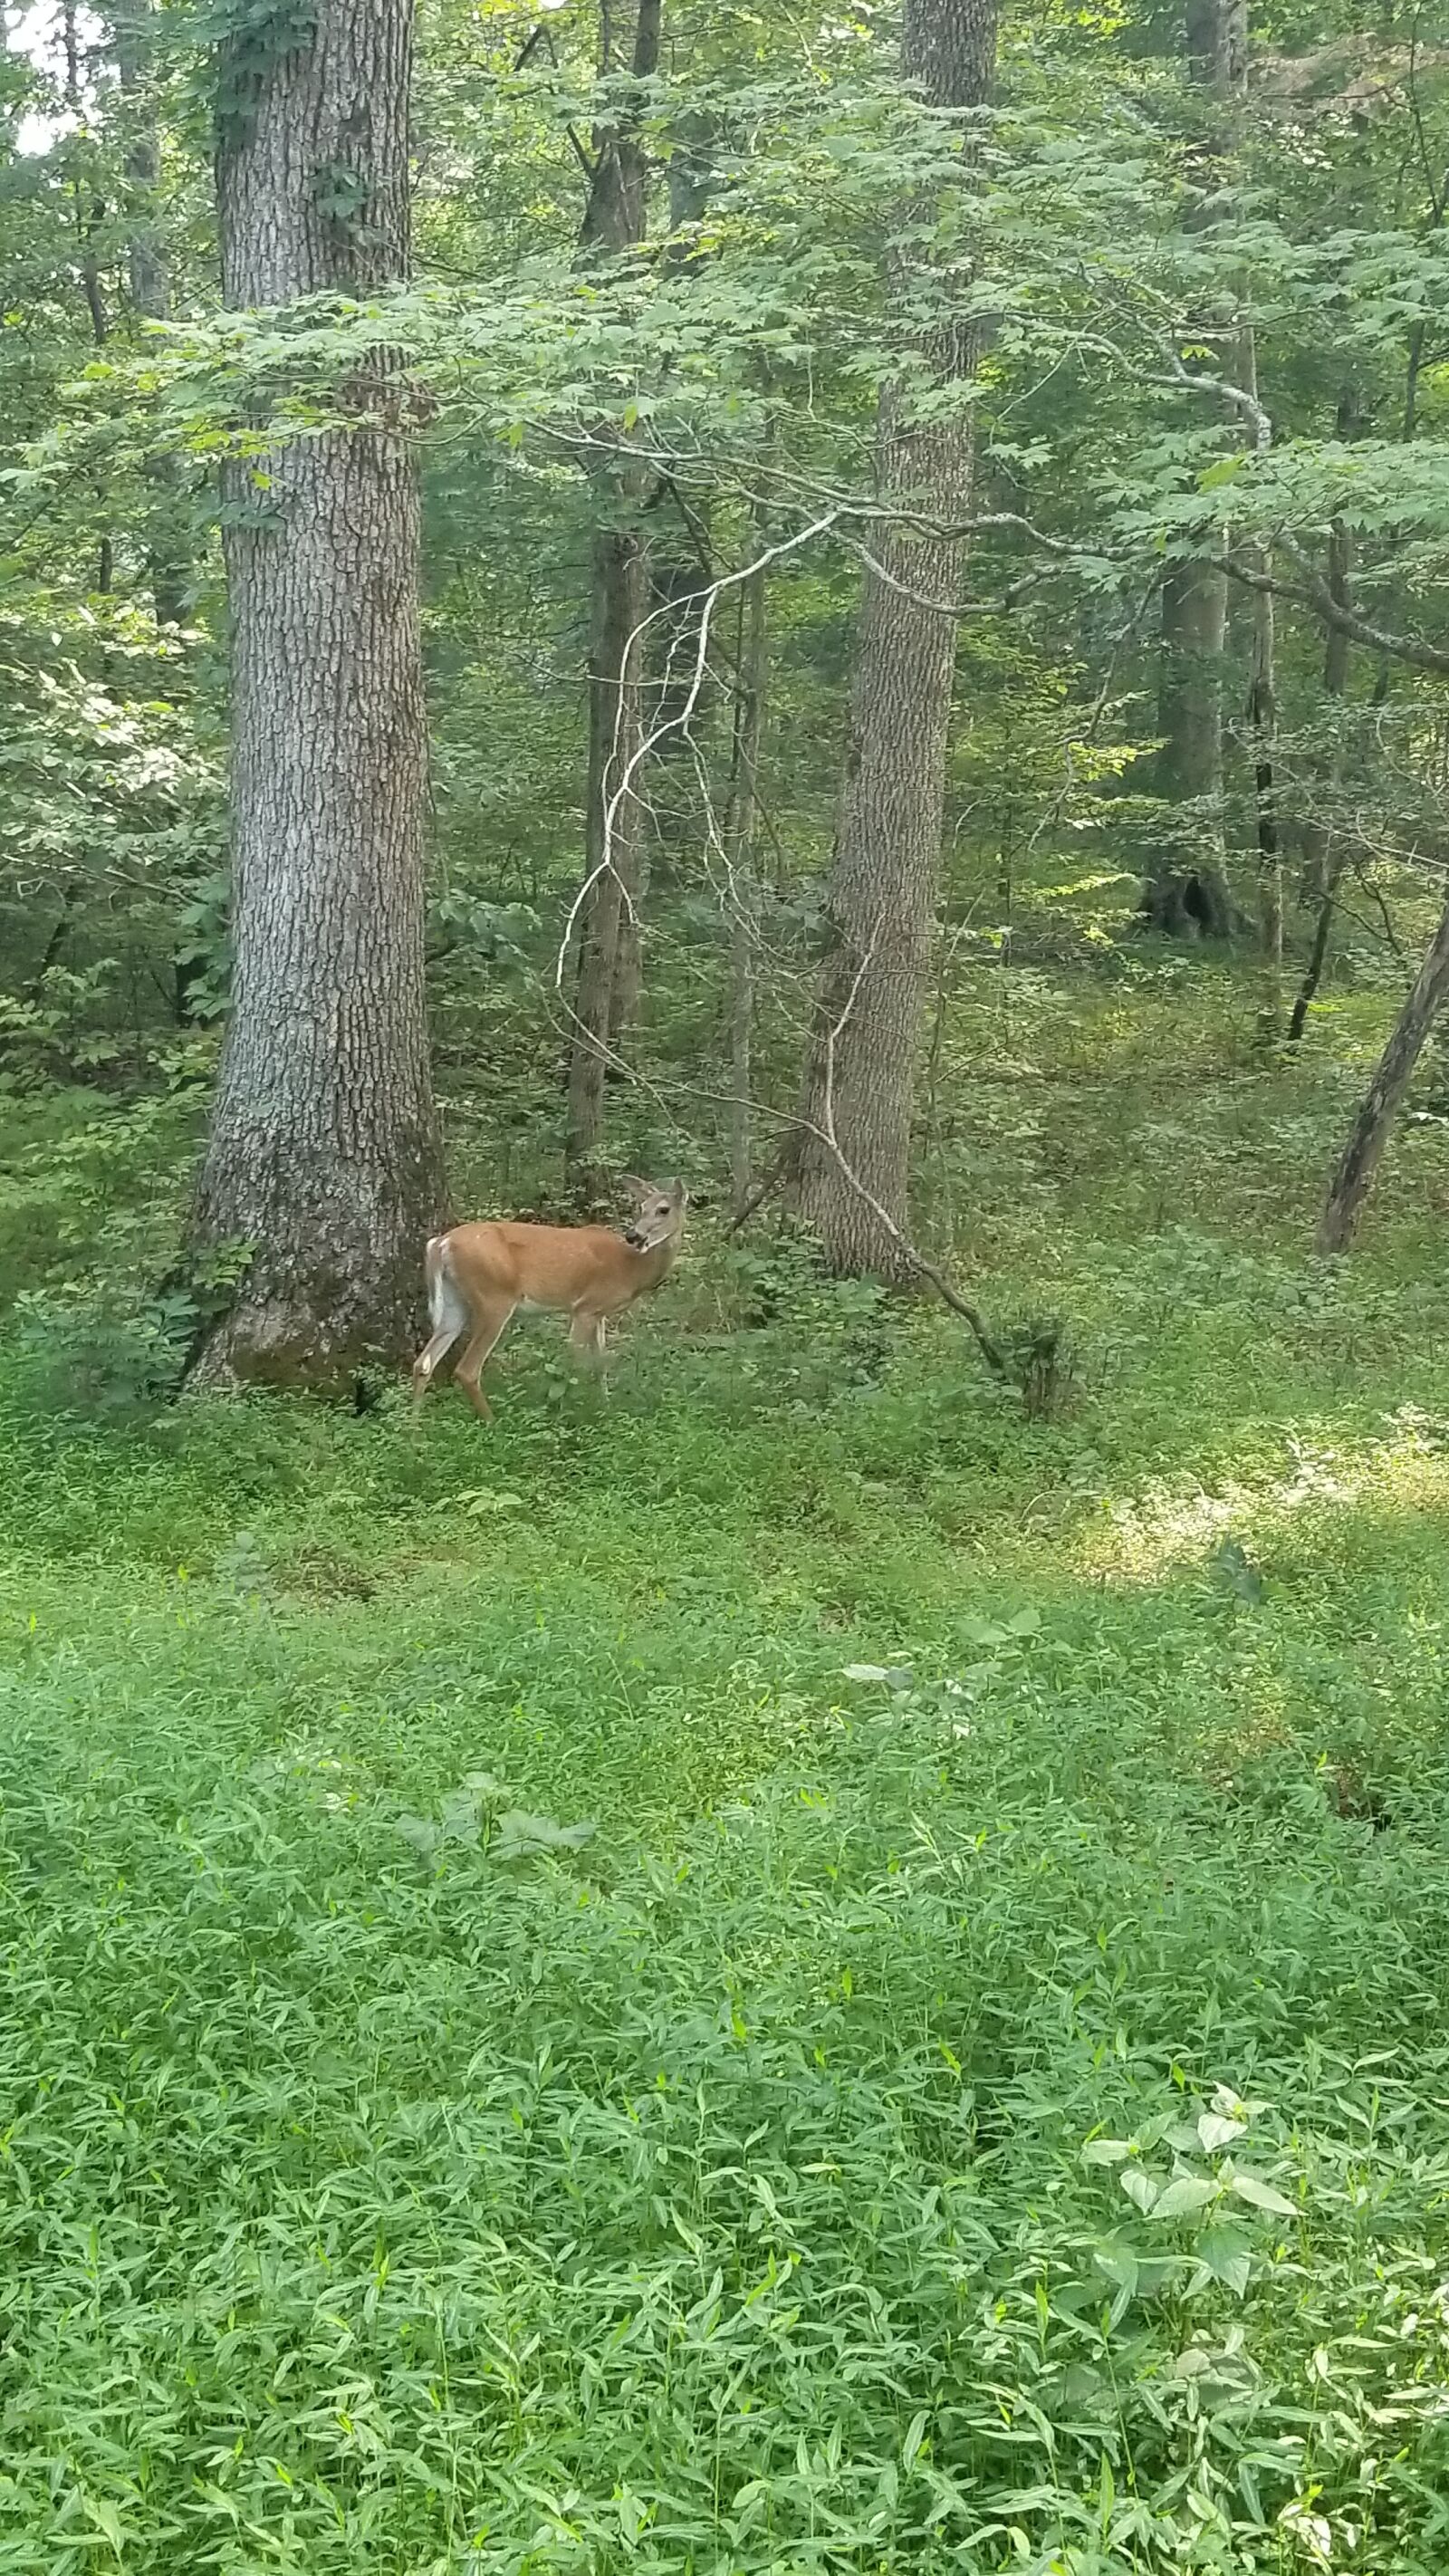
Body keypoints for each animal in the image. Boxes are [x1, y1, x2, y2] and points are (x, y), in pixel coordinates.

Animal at [411, 1177, 687, 1422]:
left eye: (663, 1209)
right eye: (642, 1207)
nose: (634, 1235)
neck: (631, 1267)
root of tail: (440, 1243)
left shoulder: (599, 1313)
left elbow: (600, 1364)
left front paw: (605, 1405)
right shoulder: (584, 1307)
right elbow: (574, 1362)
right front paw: (574, 1408)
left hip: (455, 1302)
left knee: (423, 1363)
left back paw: (414, 1426)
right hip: (494, 1298)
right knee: (467, 1369)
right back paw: (492, 1422)